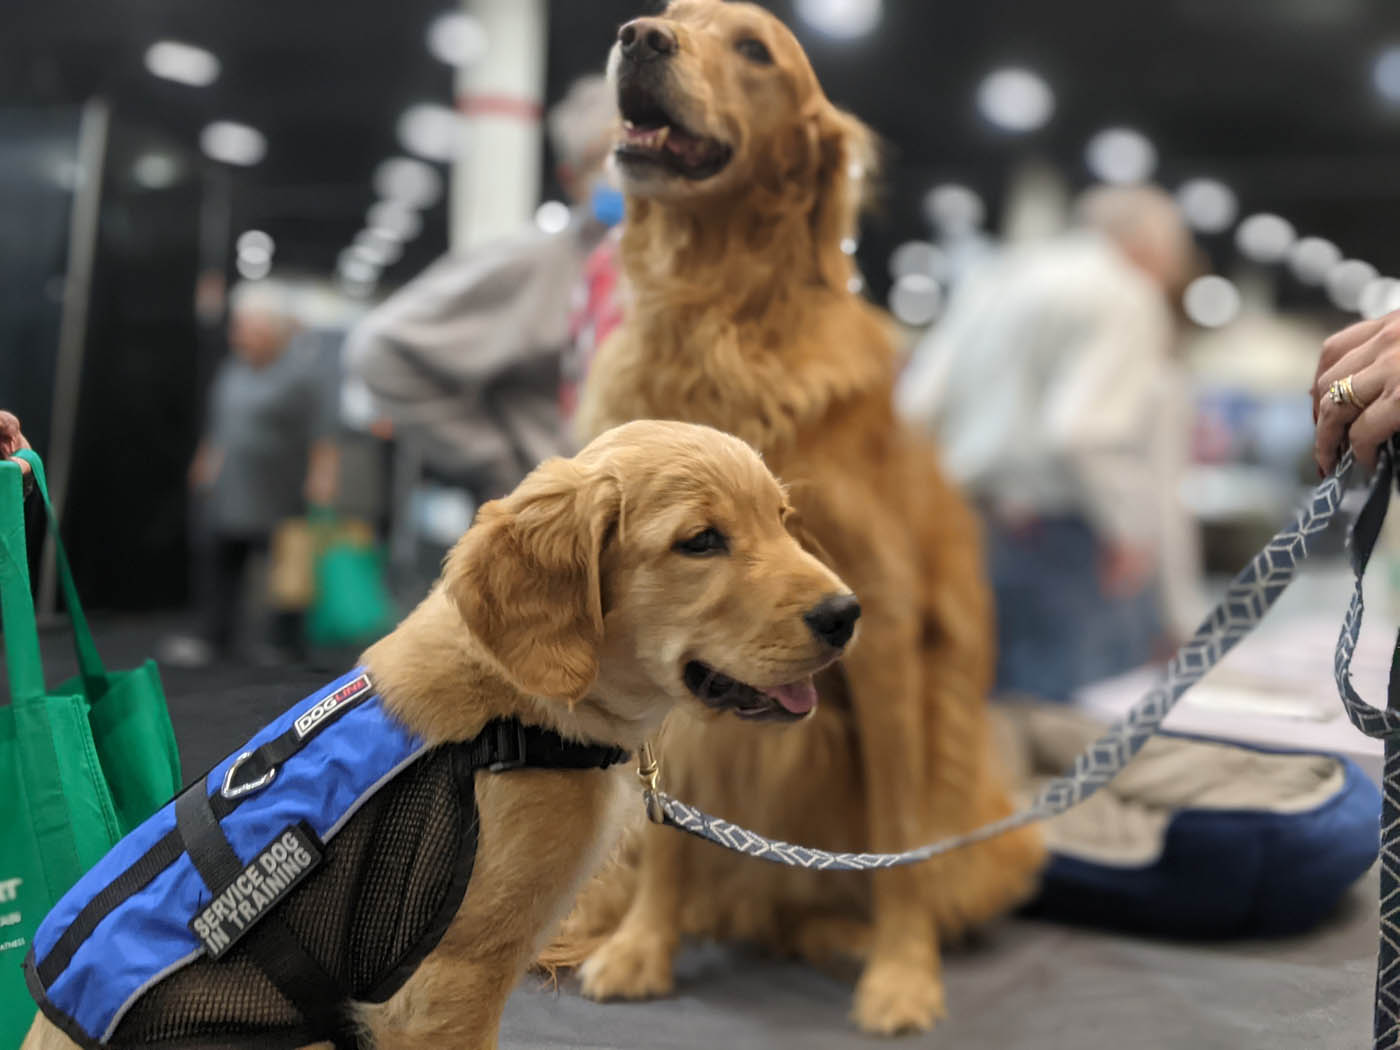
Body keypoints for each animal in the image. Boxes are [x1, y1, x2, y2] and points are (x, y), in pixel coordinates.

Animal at [562, 0, 1047, 1036]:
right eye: (670, 15)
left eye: (753, 49)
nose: (639, 37)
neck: (716, 318)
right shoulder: (670, 652)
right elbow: (671, 828)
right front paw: (642, 948)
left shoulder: (885, 628)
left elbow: (898, 835)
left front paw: (902, 975)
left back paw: (846, 936)